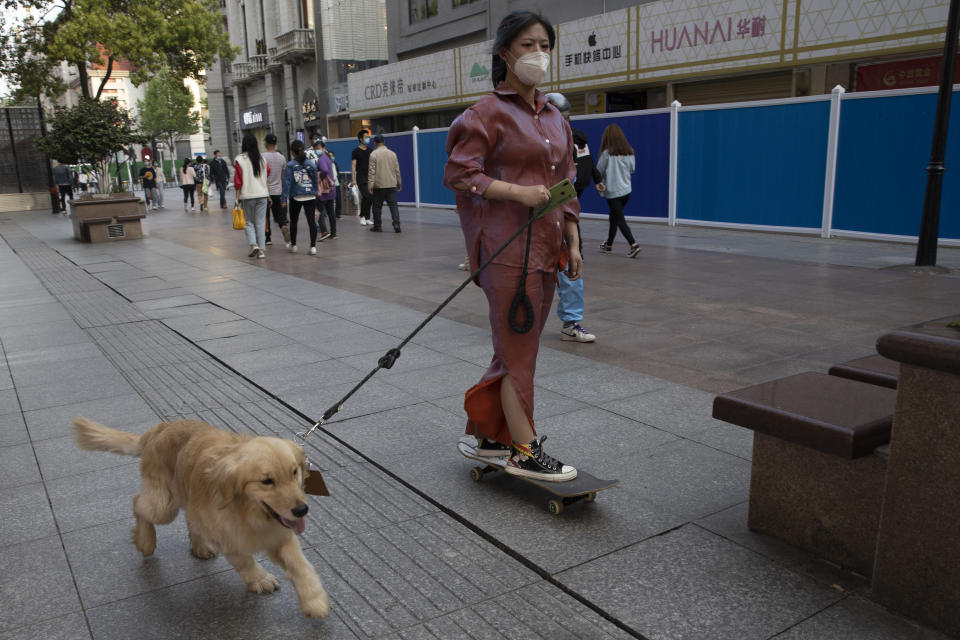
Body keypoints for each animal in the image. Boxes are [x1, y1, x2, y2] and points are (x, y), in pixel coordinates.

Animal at [72, 418, 330, 616]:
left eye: (294, 472)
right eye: (267, 481)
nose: (301, 510)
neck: (249, 512)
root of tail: (160, 428)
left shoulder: (280, 533)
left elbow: (299, 564)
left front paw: (314, 600)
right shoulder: (227, 536)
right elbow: (244, 560)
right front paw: (260, 579)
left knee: (190, 519)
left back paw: (199, 547)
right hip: (163, 505)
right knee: (138, 503)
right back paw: (146, 541)